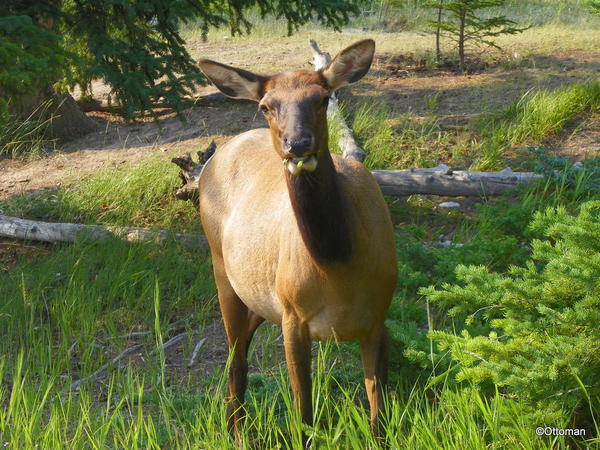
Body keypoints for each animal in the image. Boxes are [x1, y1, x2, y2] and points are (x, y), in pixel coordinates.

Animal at [198, 40, 398, 442]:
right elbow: (303, 413)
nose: (298, 144)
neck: (339, 268)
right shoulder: (292, 318)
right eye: (265, 106)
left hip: (259, 299)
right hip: (222, 270)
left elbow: (378, 414)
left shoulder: (379, 315)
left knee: (240, 351)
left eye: (322, 97)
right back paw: (237, 434)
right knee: (235, 360)